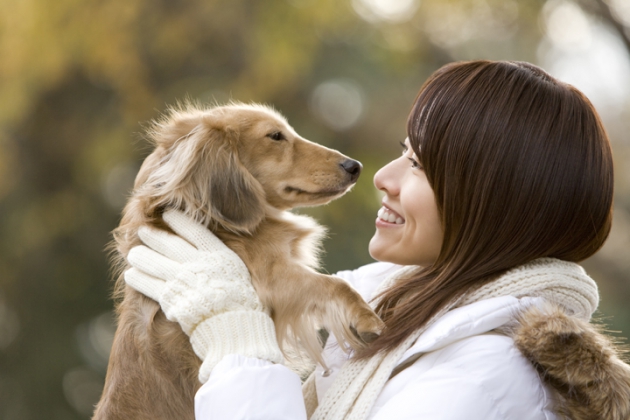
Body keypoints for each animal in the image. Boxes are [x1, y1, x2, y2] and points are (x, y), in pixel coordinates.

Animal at [91, 102, 382, 420]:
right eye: (275, 136)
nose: (355, 167)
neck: (212, 222)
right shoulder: (274, 277)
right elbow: (336, 285)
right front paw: (367, 318)